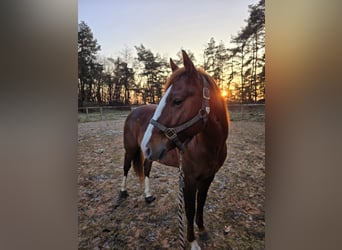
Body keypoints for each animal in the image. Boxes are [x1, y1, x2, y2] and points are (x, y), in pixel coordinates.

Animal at [118, 49, 230, 249]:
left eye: (177, 100)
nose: (147, 144)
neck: (209, 145)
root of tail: (133, 111)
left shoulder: (208, 177)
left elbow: (201, 203)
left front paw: (202, 230)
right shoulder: (189, 179)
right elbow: (189, 209)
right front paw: (192, 242)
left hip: (149, 156)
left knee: (146, 169)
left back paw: (148, 195)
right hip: (131, 150)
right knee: (126, 168)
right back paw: (123, 192)